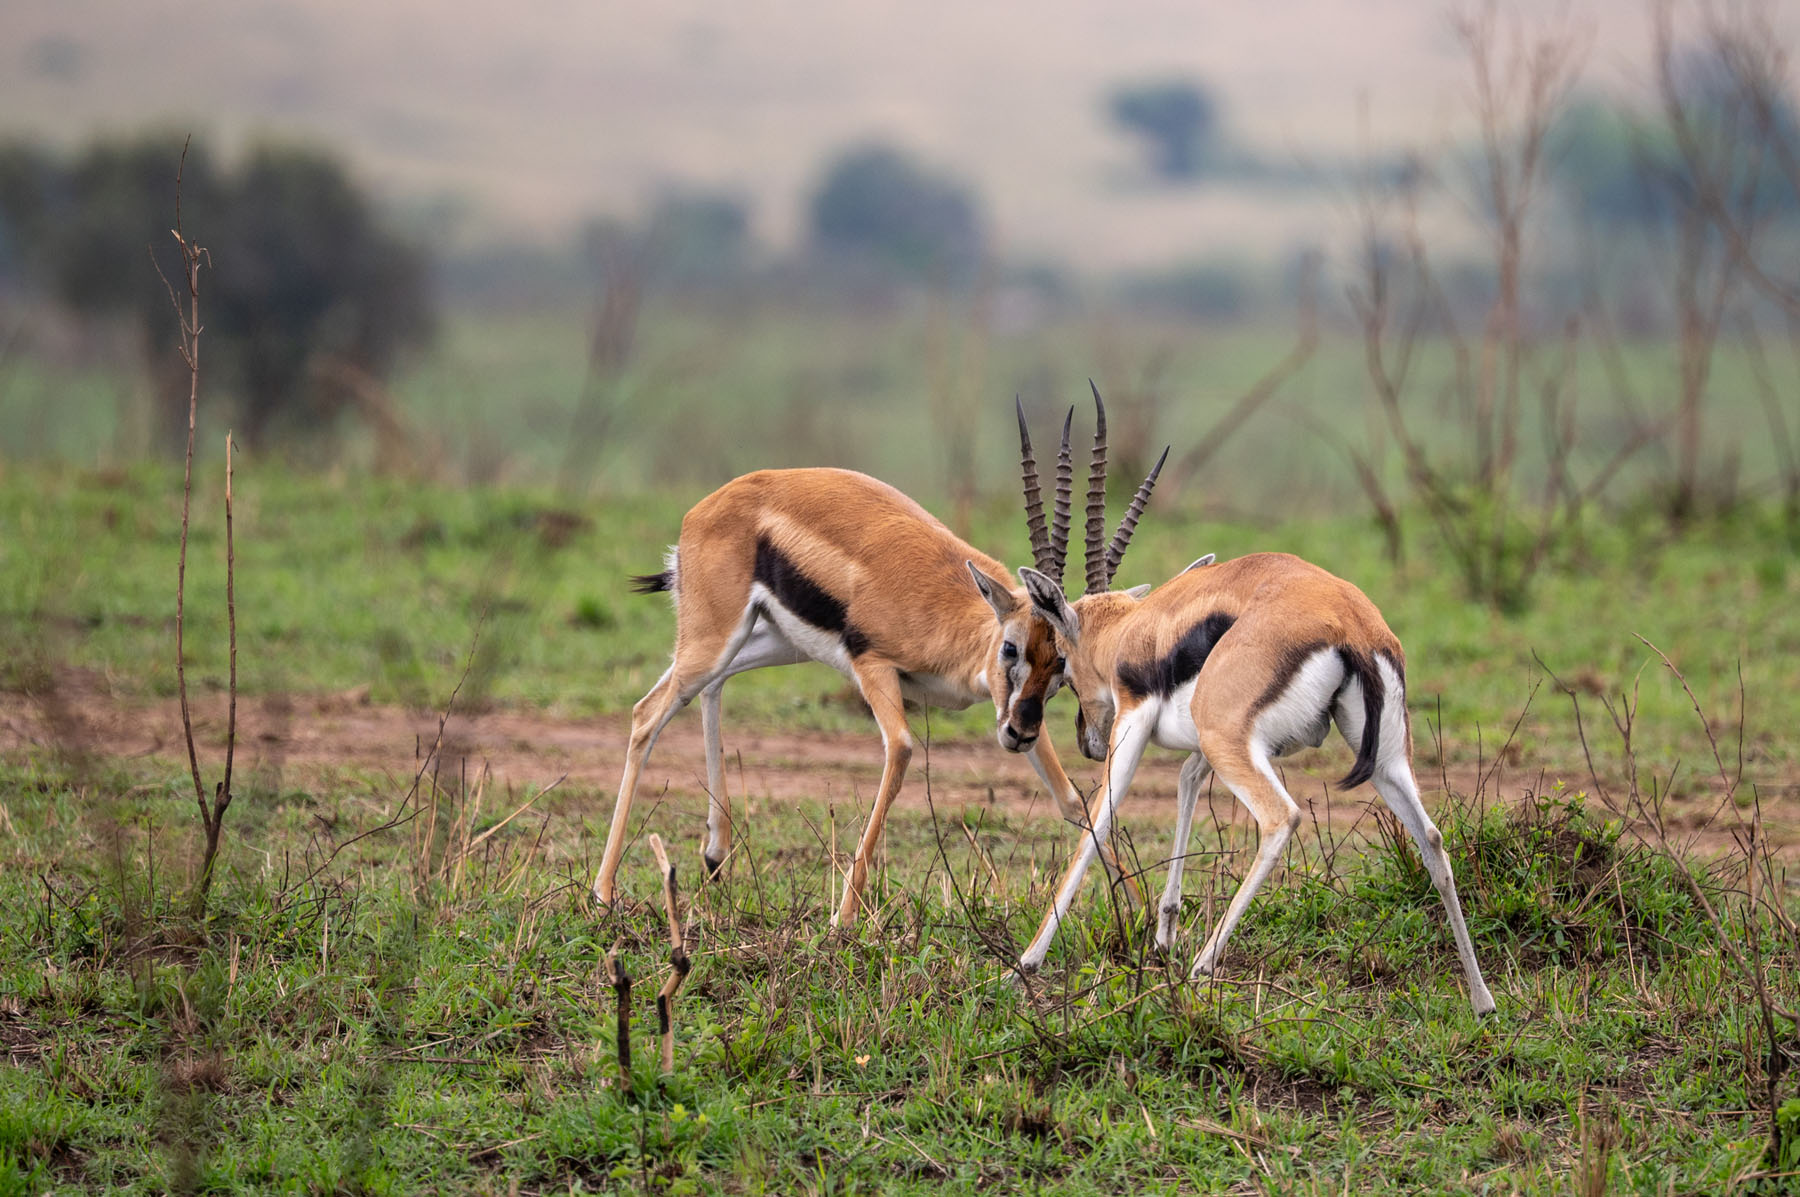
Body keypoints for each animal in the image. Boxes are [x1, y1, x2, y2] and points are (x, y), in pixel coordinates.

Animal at [592, 392, 1166, 926]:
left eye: (1061, 666)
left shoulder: (1004, 708)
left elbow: (1071, 799)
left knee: (707, 688)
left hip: (769, 643)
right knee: (648, 713)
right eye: (1011, 646)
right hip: (717, 638)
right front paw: (843, 918)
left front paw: (1145, 911)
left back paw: (714, 851)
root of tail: (705, 507)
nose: (1021, 734)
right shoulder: (875, 667)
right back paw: (603, 892)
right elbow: (903, 749)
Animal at [1013, 534, 1496, 1015]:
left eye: (1062, 661)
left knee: (1281, 818)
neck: (1132, 631)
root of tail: (1350, 624)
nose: (1087, 742)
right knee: (1432, 840)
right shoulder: (1202, 749)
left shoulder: (1136, 720)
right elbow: (1186, 783)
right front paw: (1163, 939)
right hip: (1382, 760)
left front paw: (1026, 962)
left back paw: (1202, 968)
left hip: (1228, 742)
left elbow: (1097, 821)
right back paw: (1482, 1001)